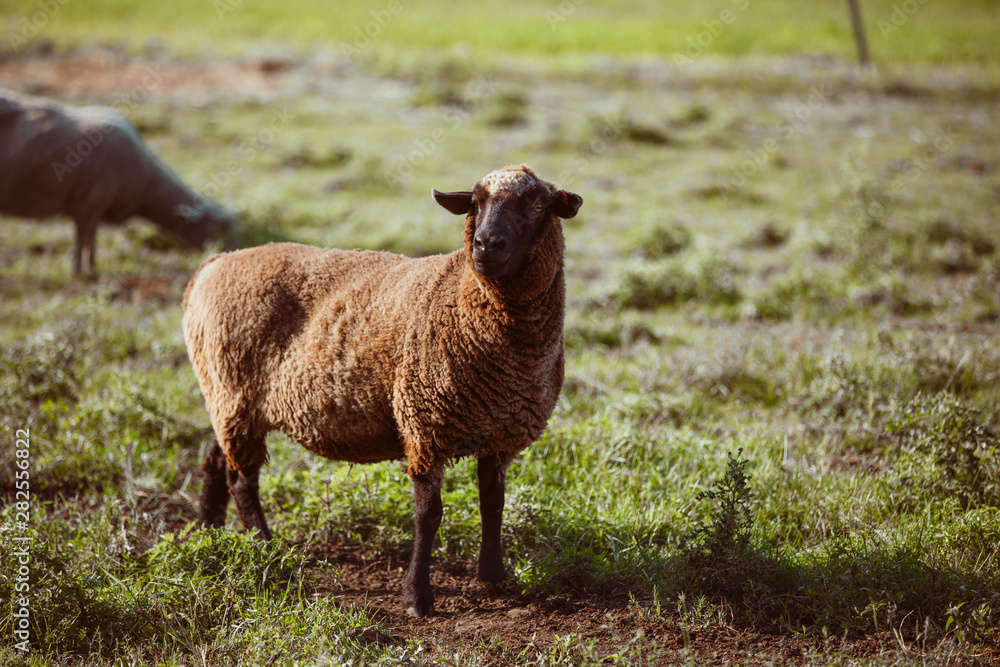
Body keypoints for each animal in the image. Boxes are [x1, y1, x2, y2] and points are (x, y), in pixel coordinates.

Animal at [0, 89, 238, 274]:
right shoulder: (87, 203)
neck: (146, 183)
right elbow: (82, 238)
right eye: (218, 229)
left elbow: (92, 238)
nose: (232, 258)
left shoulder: (94, 208)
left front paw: (91, 267)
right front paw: (78, 270)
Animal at [182, 164, 582, 617]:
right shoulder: (424, 425)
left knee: (216, 459)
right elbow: (429, 515)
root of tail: (214, 264)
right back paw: (267, 550)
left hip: (227, 399)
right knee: (241, 479)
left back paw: (210, 534)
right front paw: (417, 597)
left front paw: (496, 577)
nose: (485, 244)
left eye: (537, 204)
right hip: (235, 392)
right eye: (475, 203)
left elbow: (492, 505)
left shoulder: (500, 436)